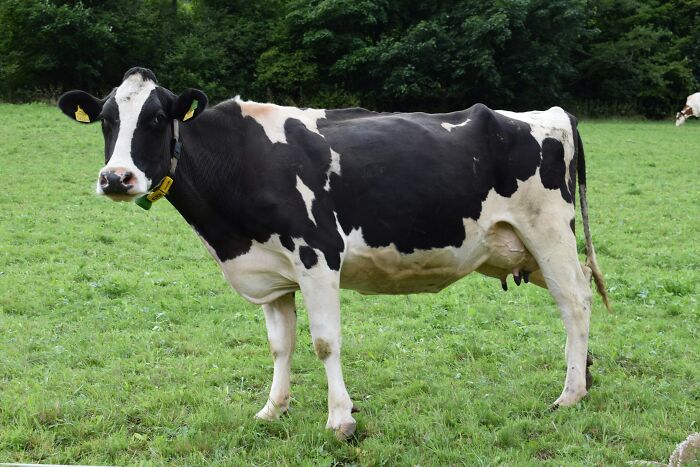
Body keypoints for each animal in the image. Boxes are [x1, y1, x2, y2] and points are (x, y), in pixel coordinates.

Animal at [58, 67, 610, 440]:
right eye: (106, 120)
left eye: (156, 118)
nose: (116, 178)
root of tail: (551, 113)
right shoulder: (271, 274)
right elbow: (280, 346)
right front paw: (272, 410)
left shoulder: (318, 256)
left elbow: (325, 342)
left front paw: (341, 420)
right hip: (525, 250)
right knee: (580, 294)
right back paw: (584, 377)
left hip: (549, 233)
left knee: (575, 303)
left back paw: (568, 395)